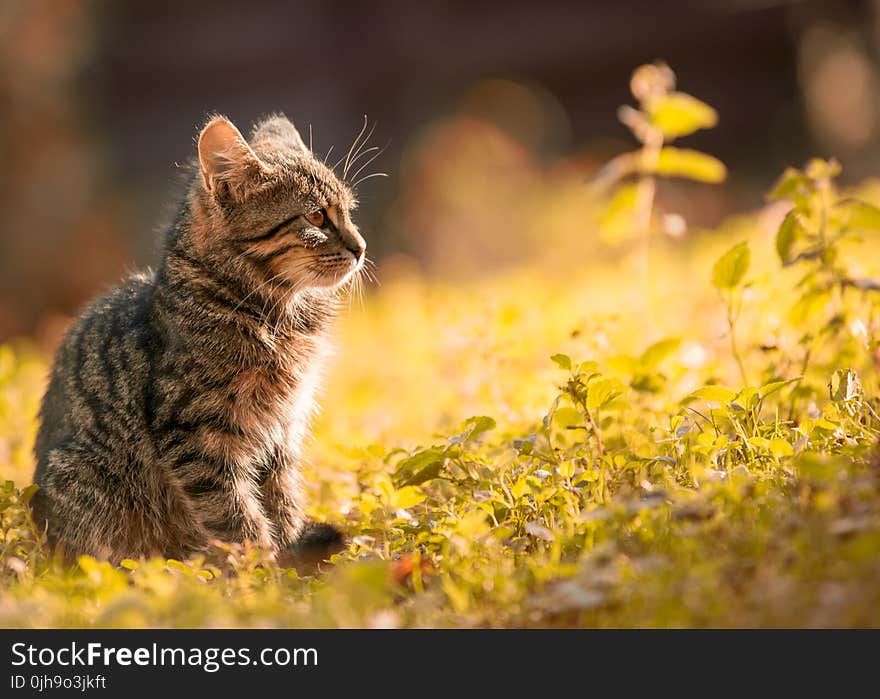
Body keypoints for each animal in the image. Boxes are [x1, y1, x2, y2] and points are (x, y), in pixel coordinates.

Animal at [29, 113, 362, 564]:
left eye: (348, 212)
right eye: (315, 218)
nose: (361, 247)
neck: (278, 315)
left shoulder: (281, 430)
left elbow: (283, 500)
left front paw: (291, 555)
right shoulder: (197, 436)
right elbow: (237, 516)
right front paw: (261, 570)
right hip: (80, 477)